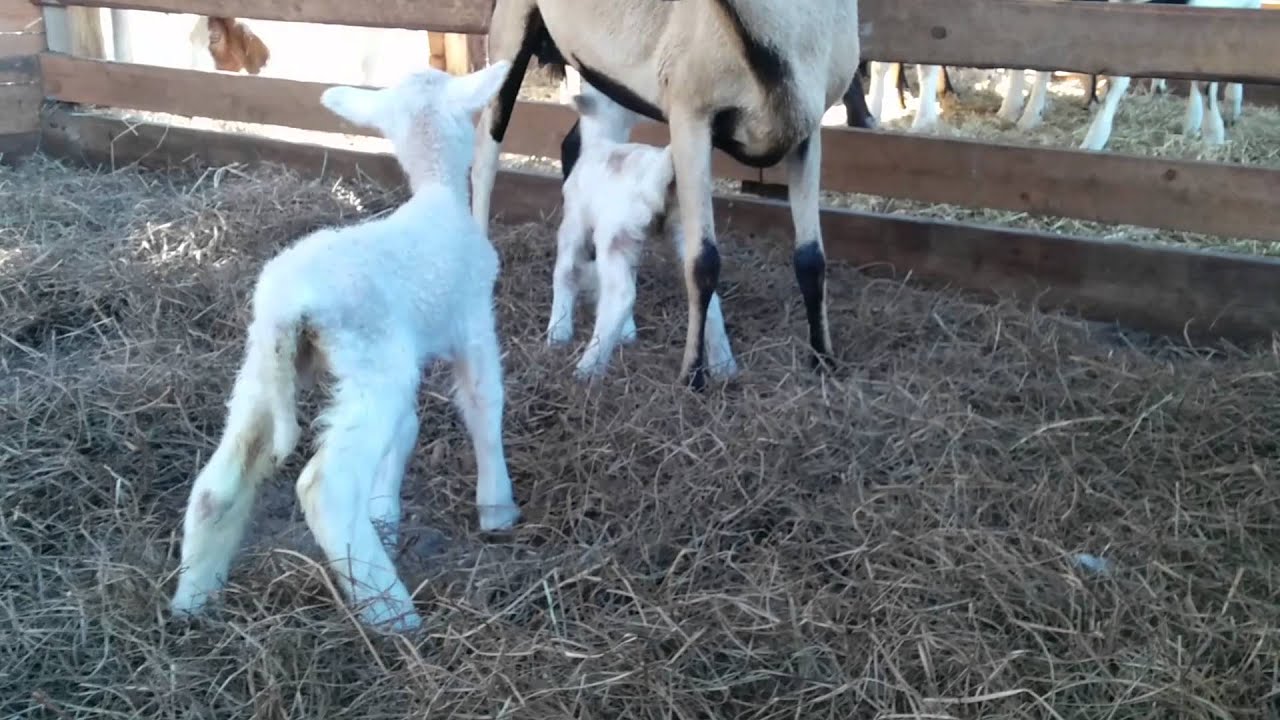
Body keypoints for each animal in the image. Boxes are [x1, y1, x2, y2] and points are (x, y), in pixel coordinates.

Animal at [168, 61, 520, 632]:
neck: (438, 192)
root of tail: (287, 308)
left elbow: (406, 429)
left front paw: (384, 510)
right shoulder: (472, 321)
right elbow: (485, 406)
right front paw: (498, 509)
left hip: (265, 372)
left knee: (216, 488)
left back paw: (192, 602)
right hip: (372, 363)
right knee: (325, 489)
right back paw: (393, 613)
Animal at [549, 82, 738, 382]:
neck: (602, 139)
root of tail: (659, 172)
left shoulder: (575, 220)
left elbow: (565, 272)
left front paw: (558, 331)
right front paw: (626, 332)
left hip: (615, 234)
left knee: (621, 294)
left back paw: (588, 368)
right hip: (684, 228)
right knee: (705, 287)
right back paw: (723, 365)